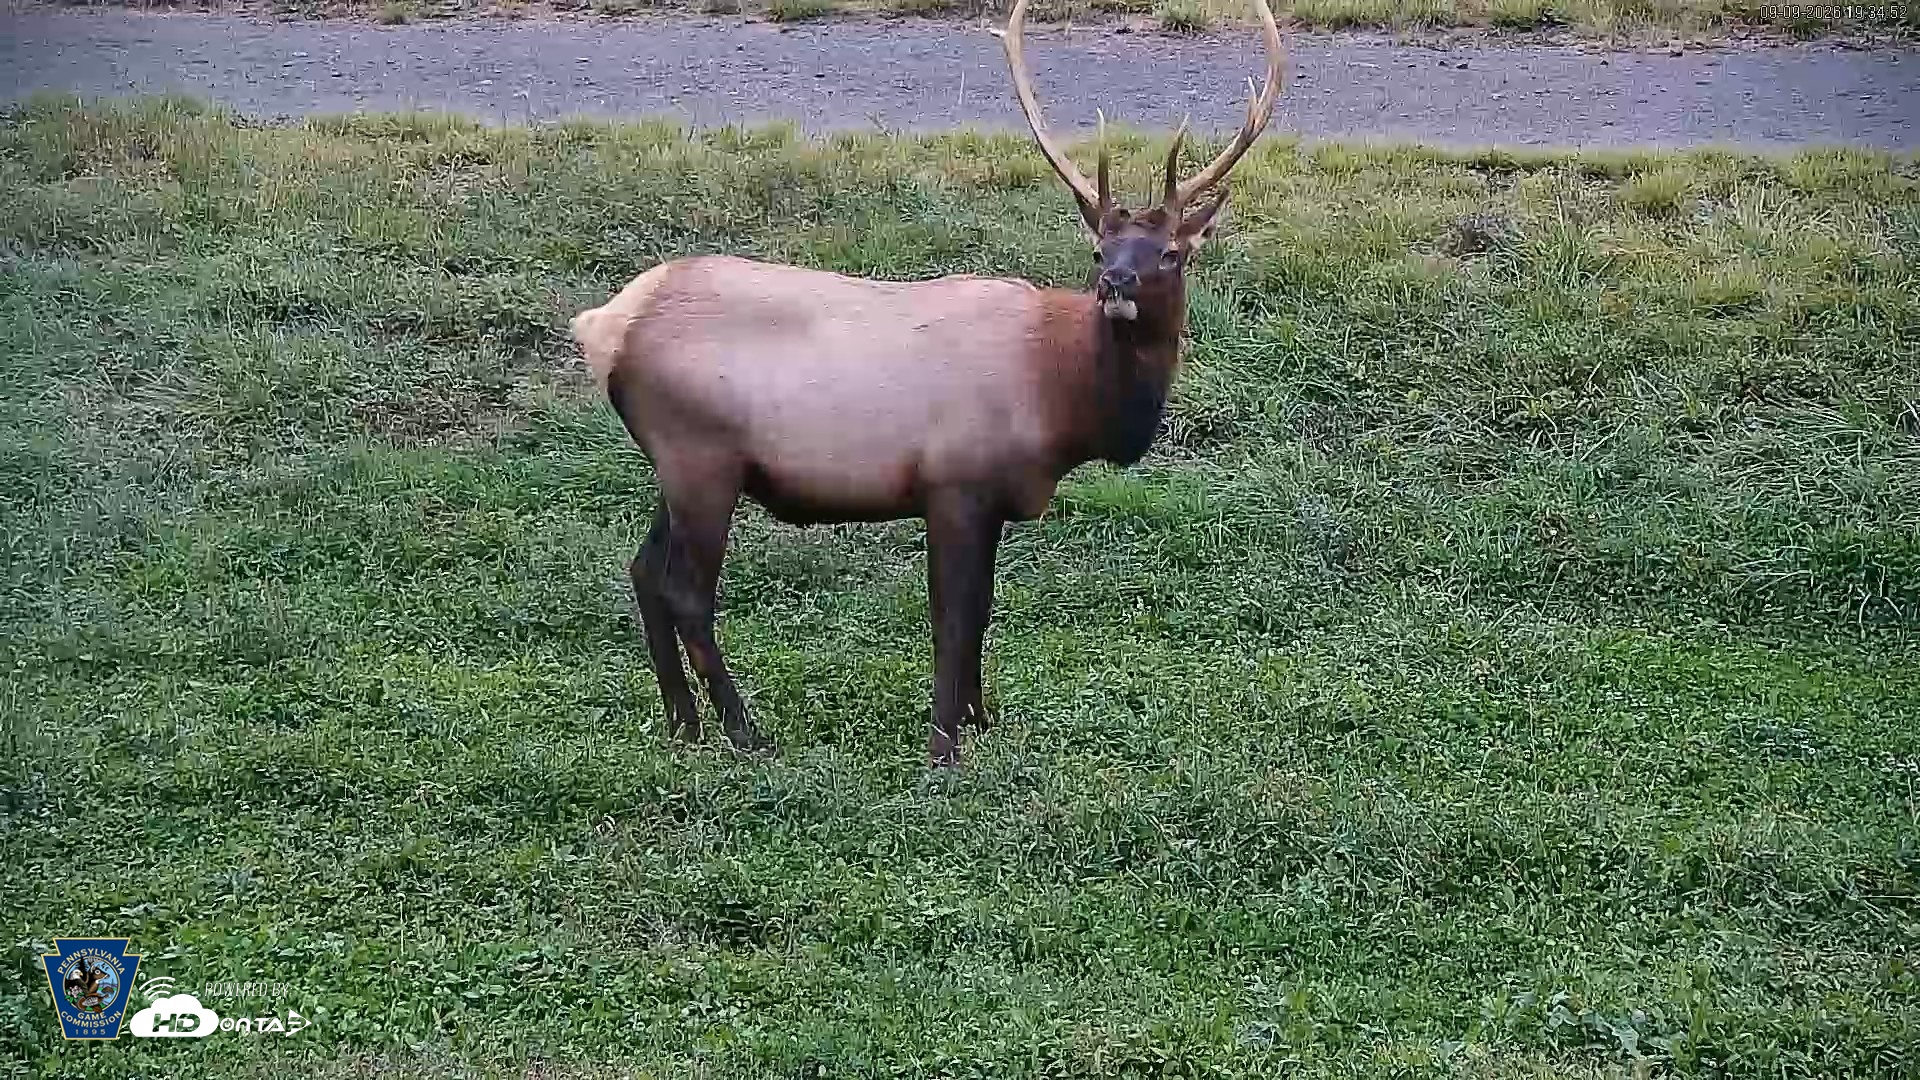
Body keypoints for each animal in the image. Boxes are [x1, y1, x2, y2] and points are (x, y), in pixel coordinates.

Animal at [568, 0, 1287, 767]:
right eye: (1100, 250)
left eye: (1171, 253)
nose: (1116, 284)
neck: (1060, 401)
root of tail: (605, 326)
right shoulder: (953, 485)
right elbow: (953, 618)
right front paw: (944, 747)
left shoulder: (993, 498)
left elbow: (984, 612)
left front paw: (981, 720)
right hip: (700, 456)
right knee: (687, 593)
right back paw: (744, 732)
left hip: (675, 466)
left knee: (643, 572)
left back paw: (684, 724)